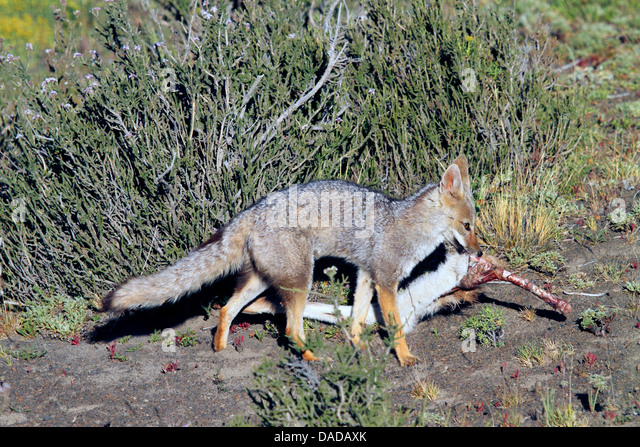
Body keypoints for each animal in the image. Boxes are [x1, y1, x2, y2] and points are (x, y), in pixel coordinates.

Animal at [104, 156, 480, 366]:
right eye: (468, 226)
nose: (478, 252)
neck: (407, 224)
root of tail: (253, 209)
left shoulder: (365, 275)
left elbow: (357, 319)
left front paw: (358, 348)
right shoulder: (386, 281)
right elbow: (395, 327)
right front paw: (403, 358)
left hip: (264, 280)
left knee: (227, 309)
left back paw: (221, 349)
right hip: (302, 280)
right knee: (290, 330)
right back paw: (316, 359)